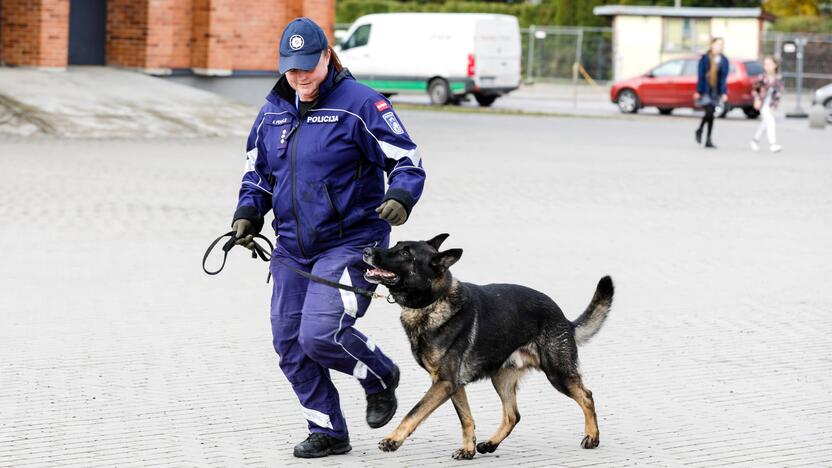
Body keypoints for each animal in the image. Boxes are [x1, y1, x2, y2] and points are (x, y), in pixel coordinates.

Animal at [360, 232, 616, 458]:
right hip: (501, 378)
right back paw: (490, 444)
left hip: (558, 374)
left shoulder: (444, 383)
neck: (433, 301)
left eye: (405, 253)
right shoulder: (453, 385)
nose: (366, 250)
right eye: (397, 244)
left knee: (586, 396)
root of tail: (563, 318)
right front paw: (468, 450)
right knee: (513, 415)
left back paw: (592, 437)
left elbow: (414, 412)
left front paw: (392, 440)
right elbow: (466, 419)